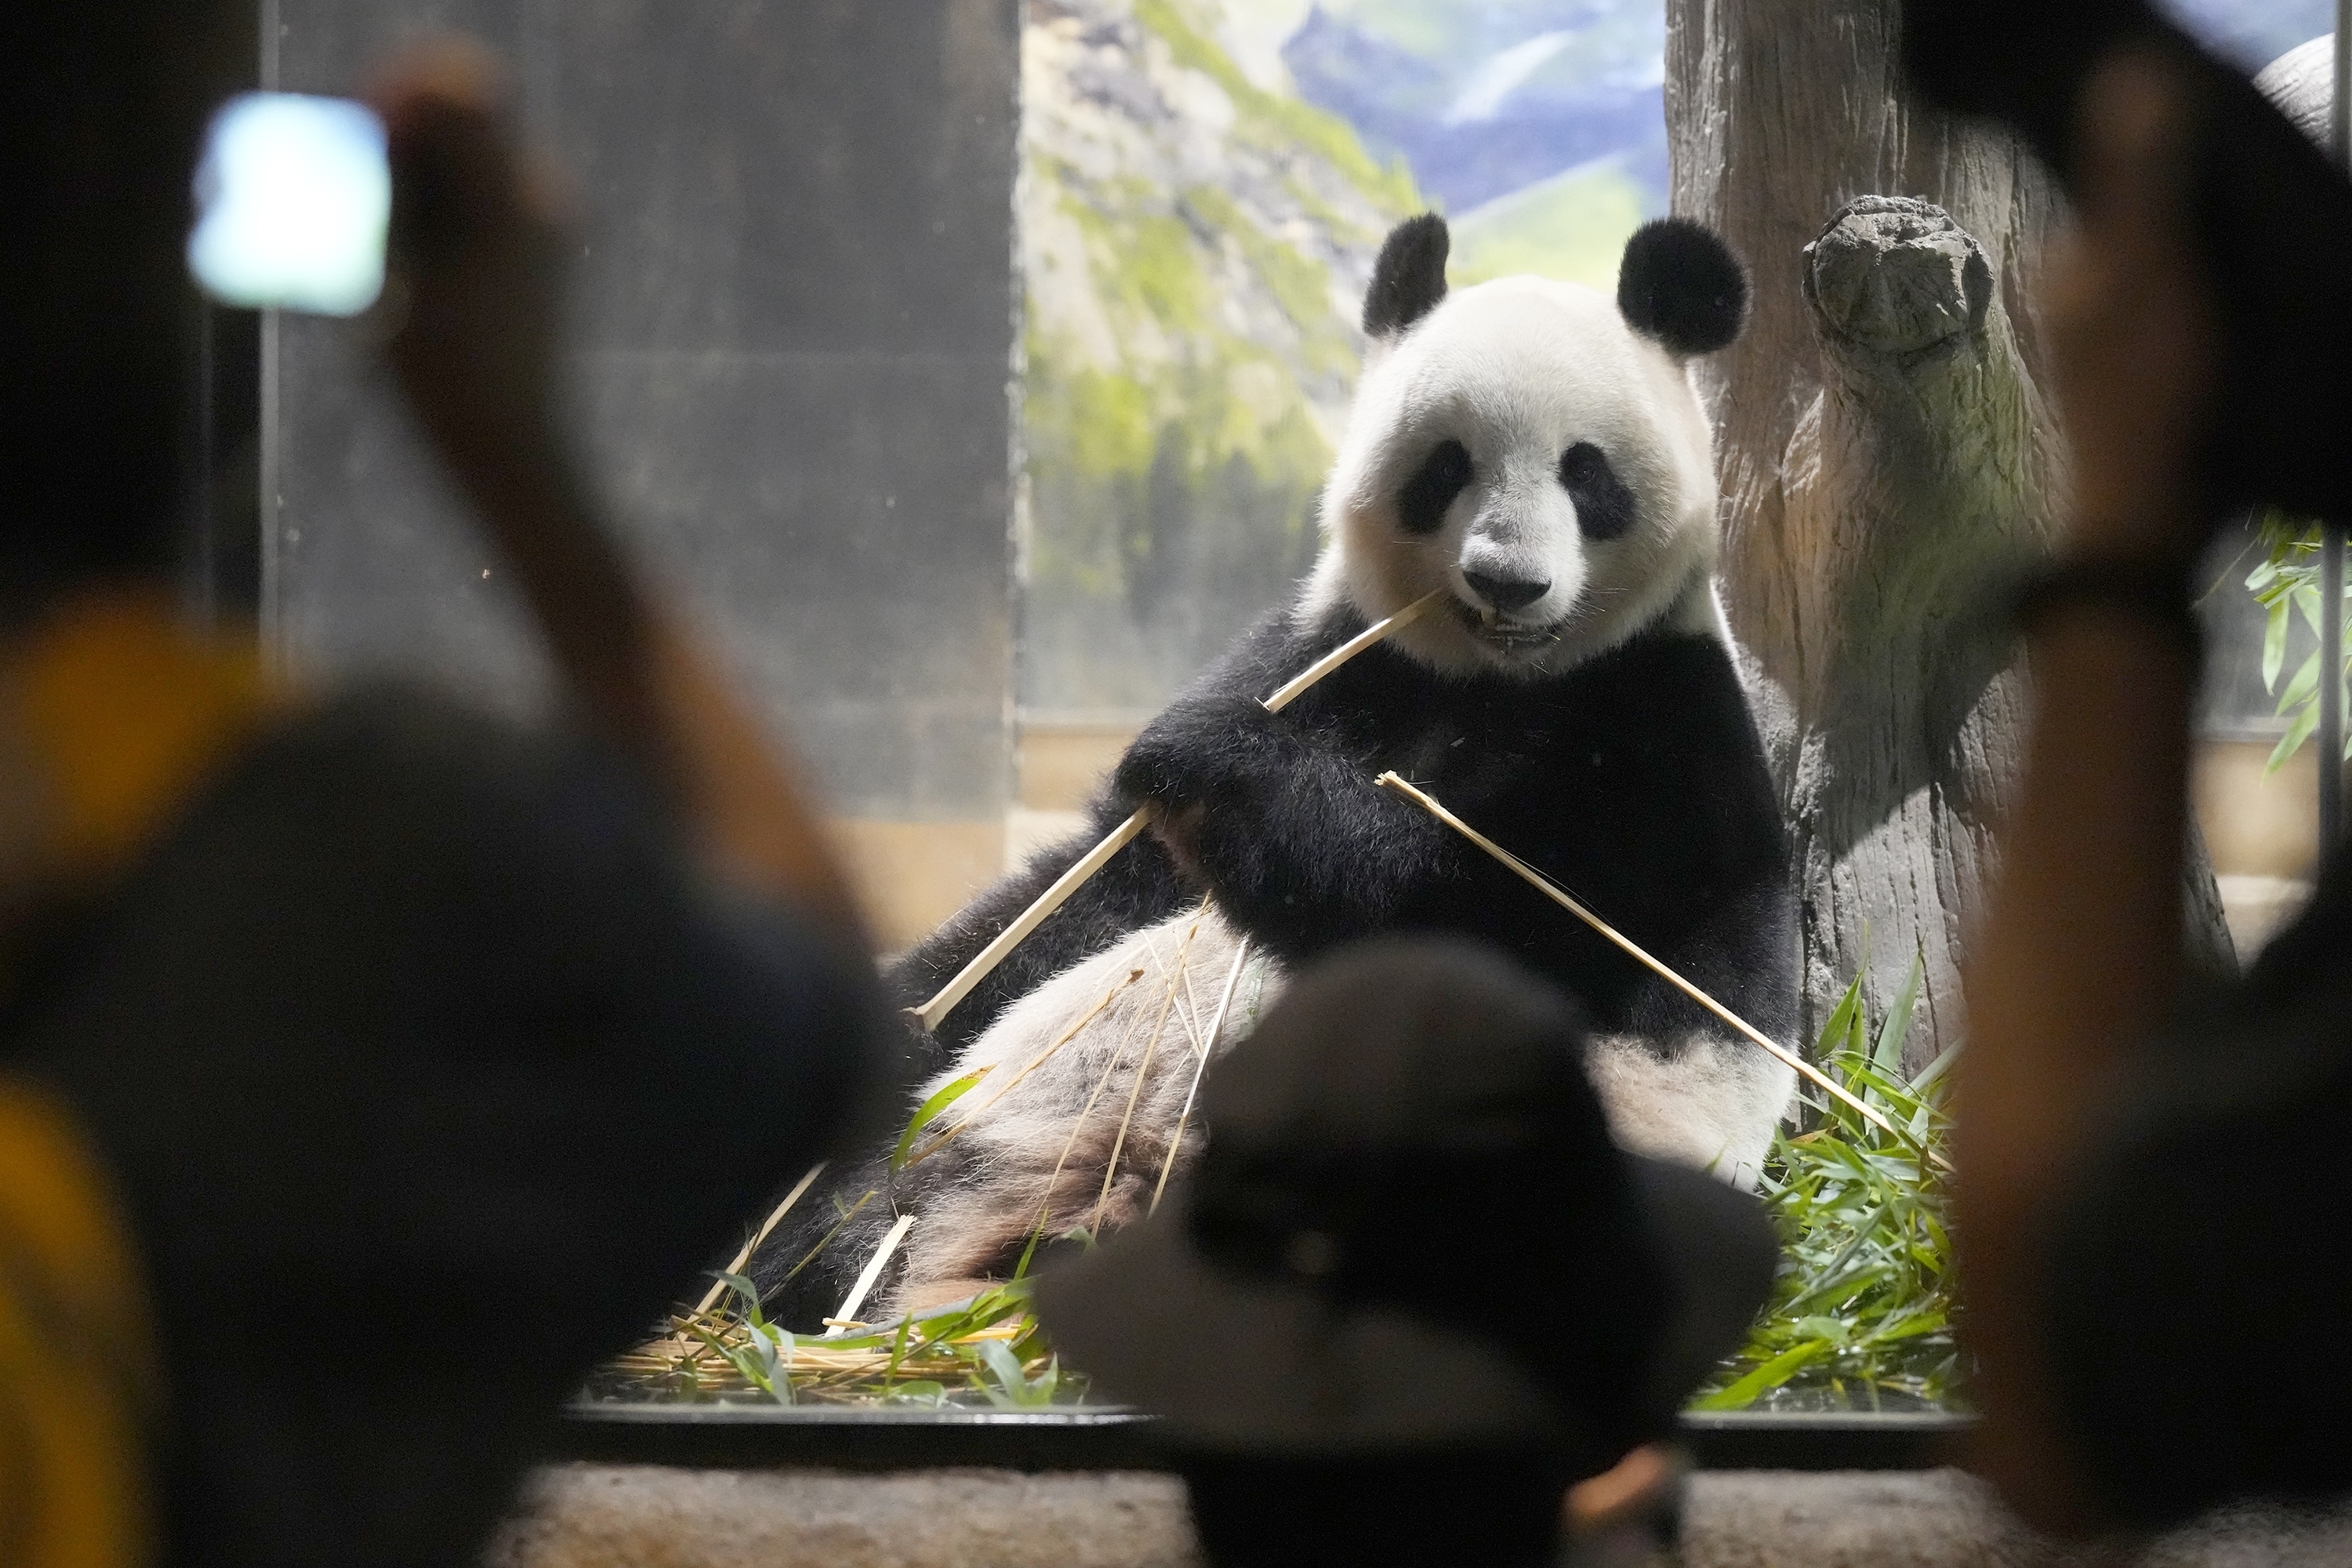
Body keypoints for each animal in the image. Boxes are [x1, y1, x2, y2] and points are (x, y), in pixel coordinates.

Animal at [753, 215, 1797, 1335]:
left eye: (1587, 473)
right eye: (1447, 466)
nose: (1507, 580)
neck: (1493, 678)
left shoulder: (1656, 740)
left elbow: (1489, 920)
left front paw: (1219, 763)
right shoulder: (1329, 653)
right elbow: (1079, 894)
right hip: (981, 1127)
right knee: (888, 1171)